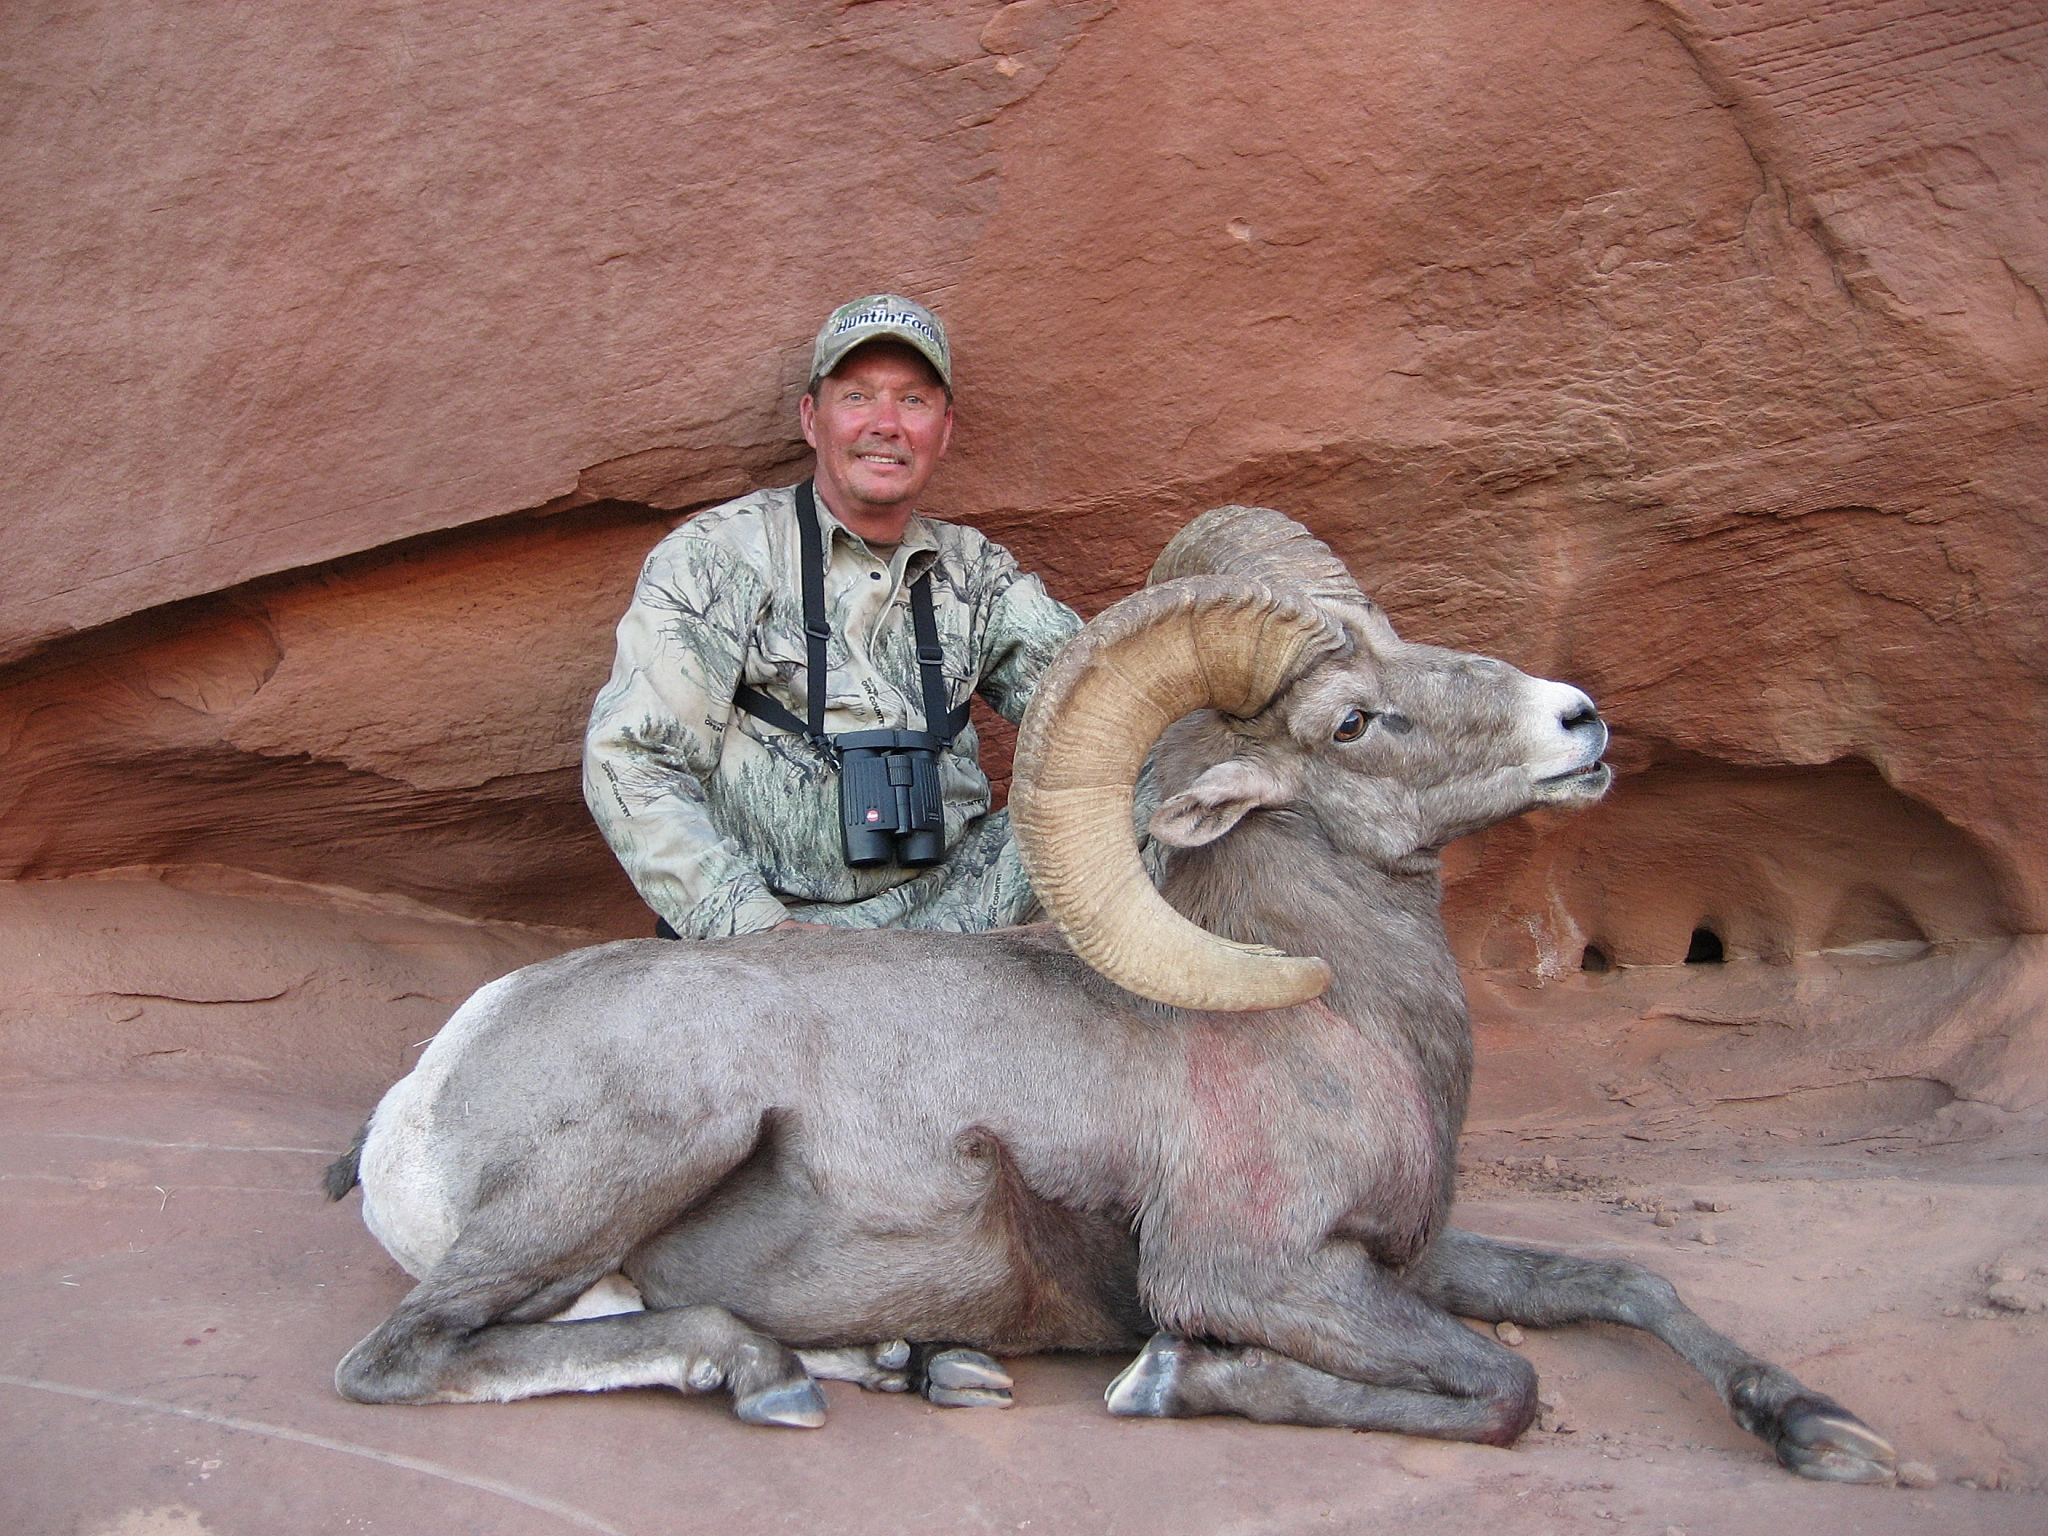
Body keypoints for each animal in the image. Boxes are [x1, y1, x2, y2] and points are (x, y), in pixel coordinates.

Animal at [327, 512, 1892, 1482]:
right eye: (1351, 721)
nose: (1580, 722)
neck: (1345, 1023)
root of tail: (426, 1090)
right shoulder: (1256, 1274)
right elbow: (1504, 1389)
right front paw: (1170, 1383)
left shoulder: (1410, 1260)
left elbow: (1629, 1283)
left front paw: (1824, 1433)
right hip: (657, 1142)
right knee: (410, 1358)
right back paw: (777, 1371)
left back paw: (911, 1362)